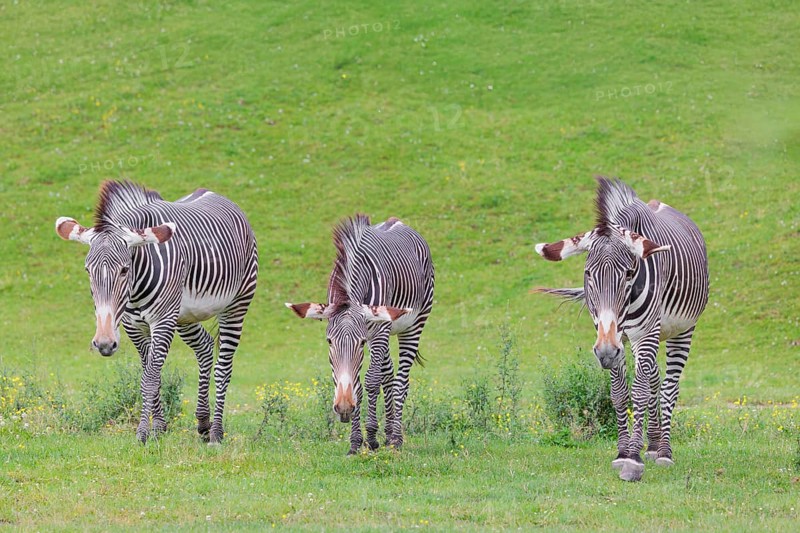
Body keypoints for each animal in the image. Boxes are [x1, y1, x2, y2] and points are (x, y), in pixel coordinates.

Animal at [55, 180, 258, 444]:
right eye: (88, 270)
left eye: (124, 270)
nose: (104, 344)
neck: (134, 289)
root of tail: (214, 194)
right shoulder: (134, 326)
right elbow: (152, 373)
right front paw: (159, 428)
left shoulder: (162, 320)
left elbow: (149, 378)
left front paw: (143, 432)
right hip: (184, 315)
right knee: (204, 346)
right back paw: (203, 423)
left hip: (236, 305)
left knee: (224, 368)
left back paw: (216, 433)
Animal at [287, 214, 434, 455]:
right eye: (329, 341)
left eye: (361, 342)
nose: (343, 407)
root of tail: (397, 221)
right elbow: (356, 383)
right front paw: (356, 442)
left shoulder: (377, 331)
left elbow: (371, 381)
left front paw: (371, 437)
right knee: (388, 375)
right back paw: (389, 434)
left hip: (413, 324)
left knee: (401, 382)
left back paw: (396, 439)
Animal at [535, 177, 708, 482]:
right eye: (588, 273)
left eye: (628, 273)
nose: (605, 351)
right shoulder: (617, 339)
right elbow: (619, 393)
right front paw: (623, 451)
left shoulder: (642, 334)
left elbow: (638, 391)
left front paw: (633, 460)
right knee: (654, 379)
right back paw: (653, 444)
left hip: (682, 329)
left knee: (668, 387)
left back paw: (664, 452)